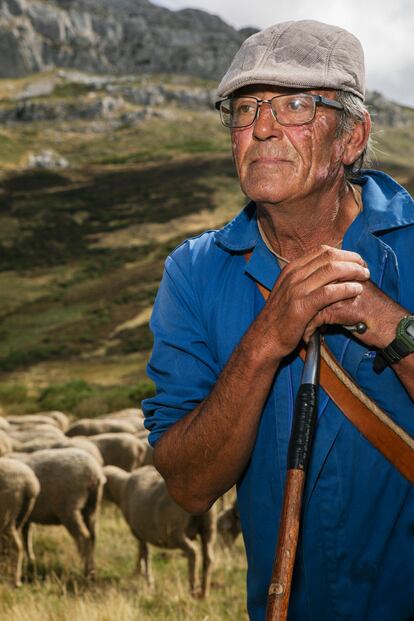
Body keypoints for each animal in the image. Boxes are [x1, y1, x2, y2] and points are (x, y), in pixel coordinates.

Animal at [11, 448, 106, 580]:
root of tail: (94, 473)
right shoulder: (26, 516)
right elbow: (26, 535)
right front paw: (30, 559)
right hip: (92, 508)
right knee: (93, 537)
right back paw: (92, 571)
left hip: (69, 508)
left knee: (84, 537)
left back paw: (87, 573)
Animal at [103, 464, 217, 596]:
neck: (121, 487)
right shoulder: (142, 531)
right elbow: (142, 551)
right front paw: (139, 572)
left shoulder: (138, 532)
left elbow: (144, 553)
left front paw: (146, 578)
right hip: (208, 529)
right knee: (208, 557)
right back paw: (204, 592)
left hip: (176, 532)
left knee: (193, 552)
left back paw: (193, 589)